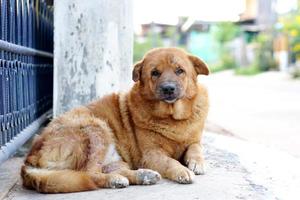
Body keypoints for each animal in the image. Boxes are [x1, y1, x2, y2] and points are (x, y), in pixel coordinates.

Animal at [20, 47, 209, 192]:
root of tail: (30, 159)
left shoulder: (194, 140)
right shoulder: (151, 155)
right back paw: (116, 180)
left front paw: (197, 162)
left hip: (116, 159)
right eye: (155, 73)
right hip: (96, 127)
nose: (168, 89)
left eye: (179, 70)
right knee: (90, 174)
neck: (173, 119)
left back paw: (142, 176)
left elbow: (196, 148)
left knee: (110, 170)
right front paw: (181, 171)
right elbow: (170, 161)